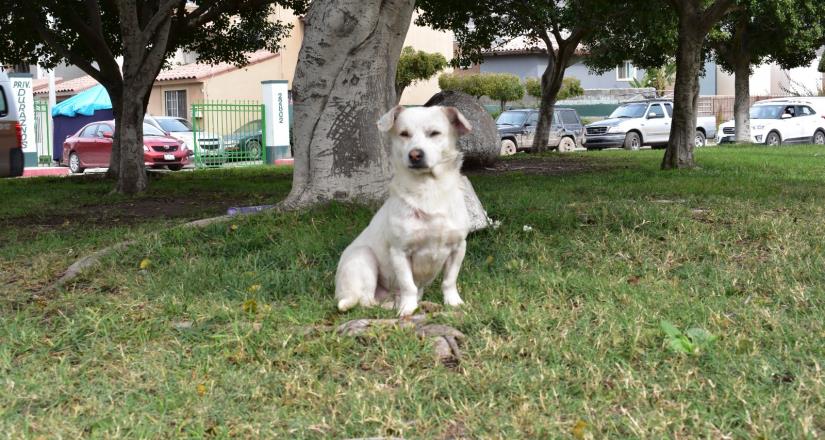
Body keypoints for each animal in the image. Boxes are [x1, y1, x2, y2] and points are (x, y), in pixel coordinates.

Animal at [334, 105, 474, 316]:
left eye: (434, 133)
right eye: (404, 134)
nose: (415, 154)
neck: (429, 189)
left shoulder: (458, 247)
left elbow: (449, 281)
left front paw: (453, 303)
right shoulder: (400, 252)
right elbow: (408, 285)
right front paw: (407, 309)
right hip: (364, 258)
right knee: (367, 301)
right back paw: (393, 306)